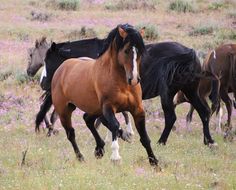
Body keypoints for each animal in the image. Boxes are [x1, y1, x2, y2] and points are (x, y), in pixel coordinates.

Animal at [36, 40, 216, 146]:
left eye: (48, 60)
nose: (43, 83)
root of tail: (189, 53)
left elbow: (106, 121)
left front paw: (124, 135)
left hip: (169, 94)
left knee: (171, 117)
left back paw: (161, 142)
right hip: (190, 91)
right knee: (204, 112)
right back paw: (209, 141)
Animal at [41, 24, 159, 165]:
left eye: (140, 51)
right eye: (126, 51)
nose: (134, 79)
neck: (122, 83)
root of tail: (61, 68)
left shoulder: (137, 109)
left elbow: (145, 138)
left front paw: (154, 162)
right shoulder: (108, 108)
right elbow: (115, 126)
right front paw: (115, 157)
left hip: (95, 109)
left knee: (87, 119)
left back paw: (99, 148)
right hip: (65, 110)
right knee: (71, 133)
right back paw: (81, 157)